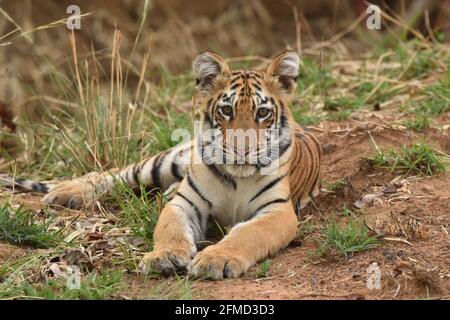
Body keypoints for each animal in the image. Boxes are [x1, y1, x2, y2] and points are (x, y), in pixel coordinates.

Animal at [0, 50, 324, 280]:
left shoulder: (278, 211)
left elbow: (247, 234)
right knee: (115, 174)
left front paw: (216, 259)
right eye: (226, 110)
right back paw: (66, 193)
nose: (240, 150)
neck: (237, 177)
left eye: (262, 113)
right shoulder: (186, 203)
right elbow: (170, 230)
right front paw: (165, 256)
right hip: (163, 163)